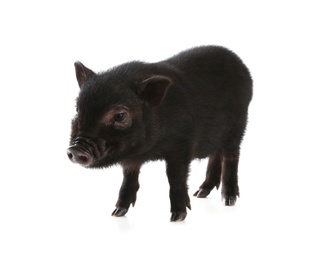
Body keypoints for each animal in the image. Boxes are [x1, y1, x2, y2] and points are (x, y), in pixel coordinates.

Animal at [67, 45, 254, 220]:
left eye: (120, 116)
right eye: (77, 109)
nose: (75, 149)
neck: (150, 151)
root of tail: (242, 66)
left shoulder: (181, 146)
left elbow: (175, 178)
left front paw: (177, 217)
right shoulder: (131, 158)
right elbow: (128, 179)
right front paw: (117, 213)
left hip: (238, 127)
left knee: (231, 157)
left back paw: (228, 200)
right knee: (215, 155)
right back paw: (200, 193)